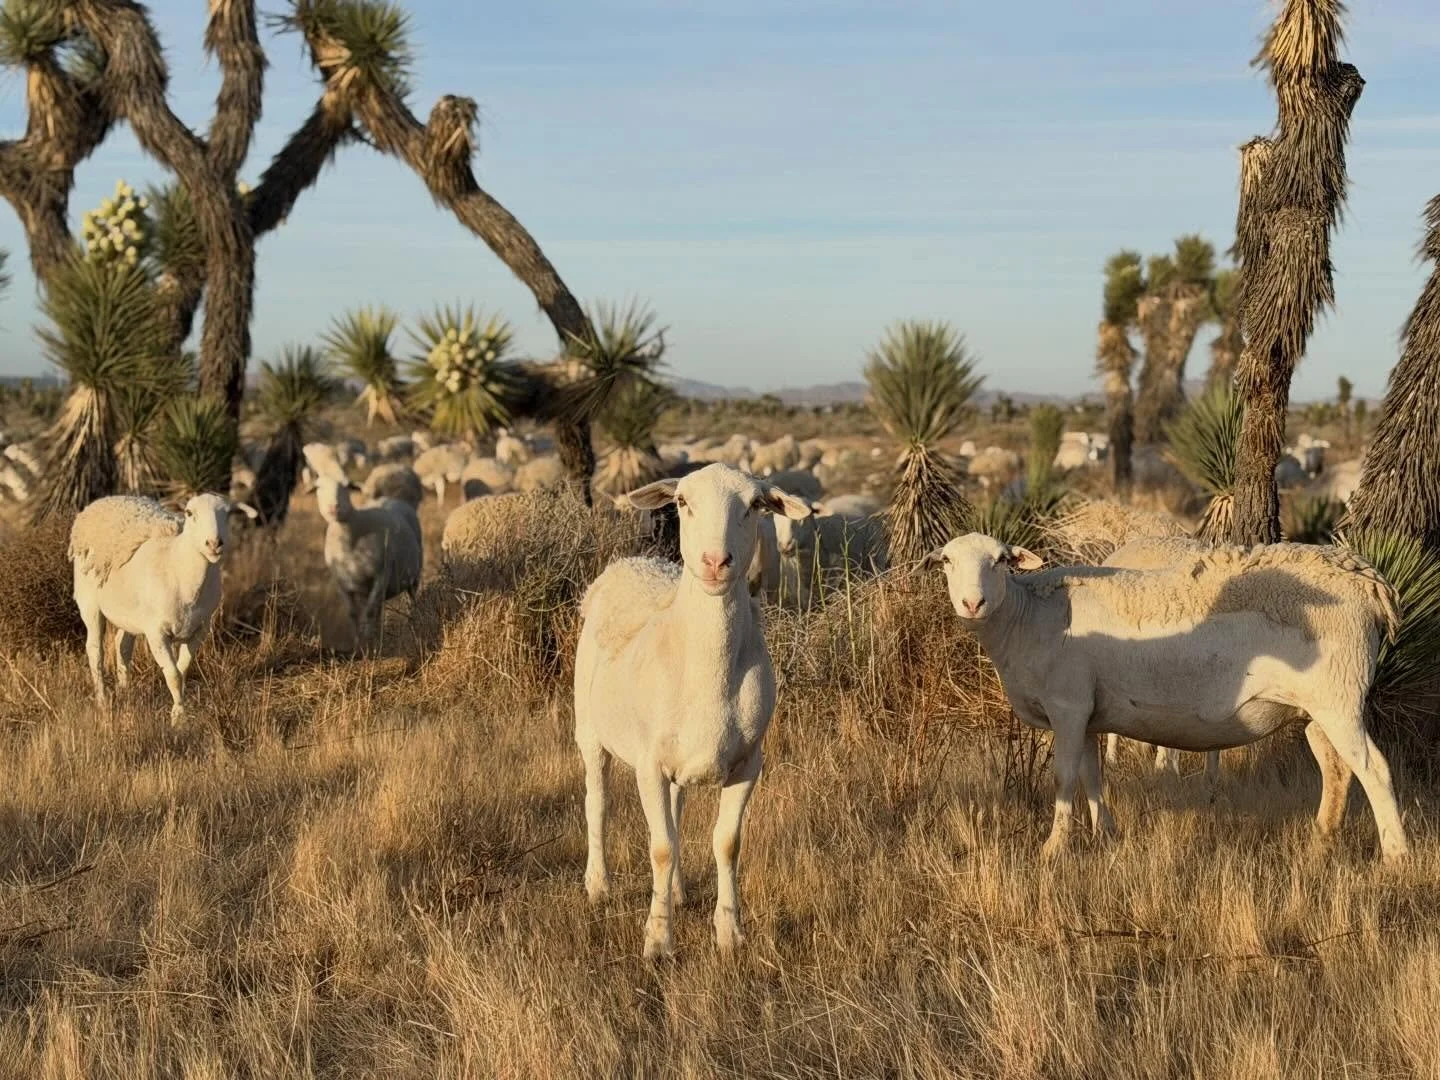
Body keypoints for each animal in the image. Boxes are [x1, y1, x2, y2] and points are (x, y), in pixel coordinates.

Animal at [69, 493, 254, 721]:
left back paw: (125, 691)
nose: (214, 543)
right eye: (189, 513)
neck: (180, 567)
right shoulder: (156, 633)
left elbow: (182, 670)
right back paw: (102, 701)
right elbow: (173, 675)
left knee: (122, 645)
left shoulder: (200, 629)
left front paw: (178, 711)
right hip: (90, 604)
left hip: (130, 613)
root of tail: (101, 501)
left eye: (227, 514)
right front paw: (179, 717)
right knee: (95, 650)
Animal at [316, 475, 423, 647]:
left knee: (411, 600)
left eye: (346, 486)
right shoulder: (341, 583)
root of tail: (391, 498)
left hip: (414, 576)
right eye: (318, 487)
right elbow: (353, 614)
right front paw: (359, 644)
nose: (333, 507)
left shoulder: (381, 576)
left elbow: (369, 612)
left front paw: (369, 643)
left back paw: (413, 625)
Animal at [574, 463, 812, 957]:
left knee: (677, 812)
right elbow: (660, 847)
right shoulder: (648, 763)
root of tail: (632, 562)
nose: (715, 562)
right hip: (589, 730)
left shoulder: (749, 762)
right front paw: (658, 940)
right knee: (597, 803)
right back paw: (598, 885)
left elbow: (727, 843)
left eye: (755, 505)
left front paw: (729, 933)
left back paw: (679, 892)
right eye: (682, 502)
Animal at [927, 532, 1409, 861]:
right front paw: (1106, 835)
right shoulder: (1086, 712)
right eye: (947, 560)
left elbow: (1064, 779)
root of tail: (1368, 580)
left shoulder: (1066, 707)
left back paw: (1396, 858)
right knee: (1337, 770)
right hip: (1316, 708)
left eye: (1000, 560)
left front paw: (1054, 848)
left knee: (1375, 770)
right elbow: (1091, 777)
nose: (972, 603)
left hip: (1339, 697)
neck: (1026, 619)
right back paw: (1320, 842)